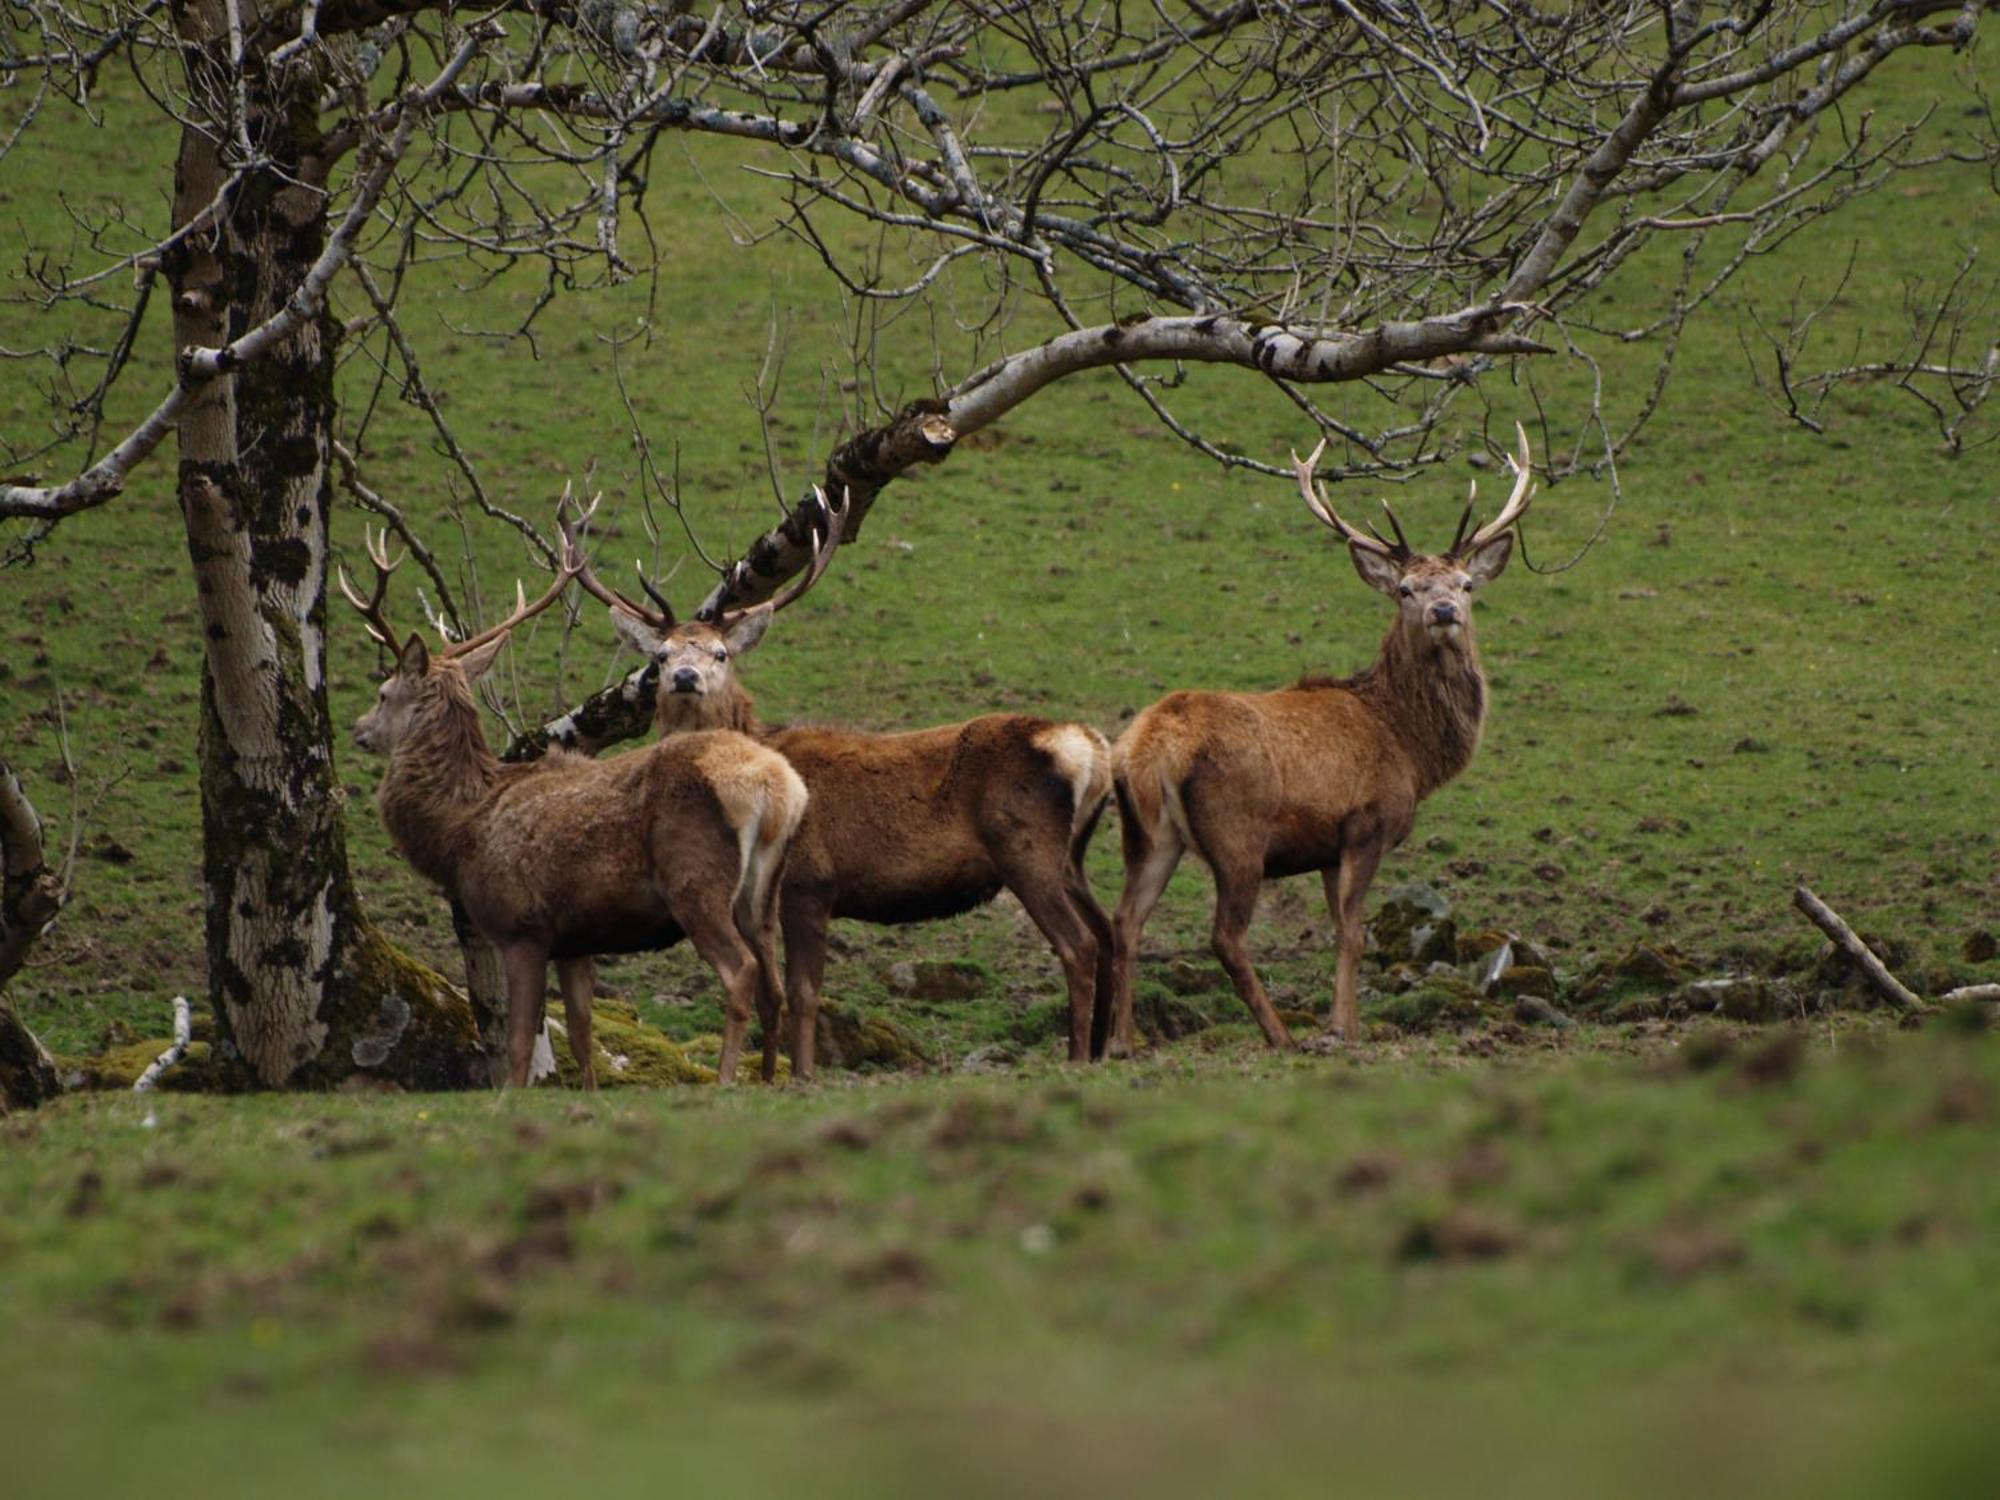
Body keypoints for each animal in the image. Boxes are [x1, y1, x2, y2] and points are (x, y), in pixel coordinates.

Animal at [344, 524, 804, 1088]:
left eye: (384, 692)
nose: (359, 729)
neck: (461, 828)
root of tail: (777, 786)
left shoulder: (521, 925)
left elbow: (520, 1044)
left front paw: (510, 1095)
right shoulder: (576, 939)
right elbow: (583, 1033)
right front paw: (590, 1091)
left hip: (695, 881)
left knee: (741, 973)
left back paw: (724, 1080)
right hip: (763, 893)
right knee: (774, 984)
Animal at [564, 494, 1120, 1080]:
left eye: (721, 653)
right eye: (662, 655)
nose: (686, 678)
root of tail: (1089, 747)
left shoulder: (811, 880)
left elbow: (805, 992)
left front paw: (804, 1074)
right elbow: (776, 990)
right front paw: (774, 1075)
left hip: (1026, 848)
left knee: (1079, 944)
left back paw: (1077, 1056)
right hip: (1070, 856)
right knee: (1108, 930)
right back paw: (1105, 1047)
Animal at [1104, 426, 1536, 1056]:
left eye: (1465, 583)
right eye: (1405, 589)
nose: (1443, 611)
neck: (1408, 746)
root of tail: (1149, 747)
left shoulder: (1329, 847)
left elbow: (1339, 930)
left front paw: (1347, 1025)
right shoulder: (1366, 824)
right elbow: (1354, 933)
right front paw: (1341, 1030)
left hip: (1149, 835)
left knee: (1125, 920)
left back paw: (1121, 1042)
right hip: (1238, 834)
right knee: (1224, 936)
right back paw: (1281, 1035)